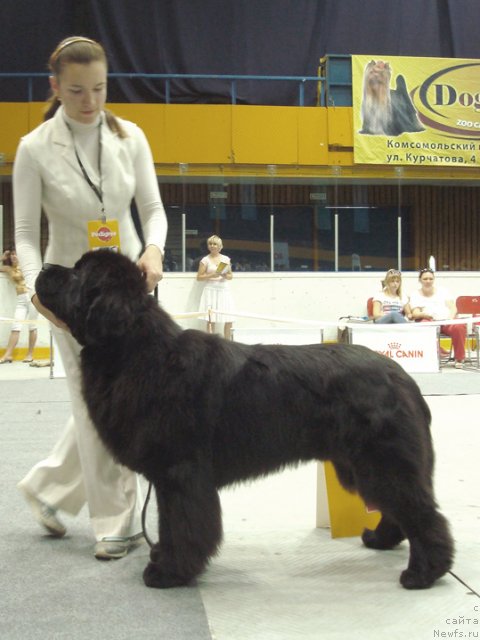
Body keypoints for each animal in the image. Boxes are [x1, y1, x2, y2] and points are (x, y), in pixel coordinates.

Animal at [36, 250, 454, 592]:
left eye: (78, 273)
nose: (42, 267)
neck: (137, 351)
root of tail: (401, 376)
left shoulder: (180, 473)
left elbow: (183, 525)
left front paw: (169, 572)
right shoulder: (171, 476)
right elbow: (171, 523)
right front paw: (164, 561)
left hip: (380, 461)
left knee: (422, 512)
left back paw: (423, 573)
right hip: (360, 464)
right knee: (400, 508)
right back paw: (380, 541)